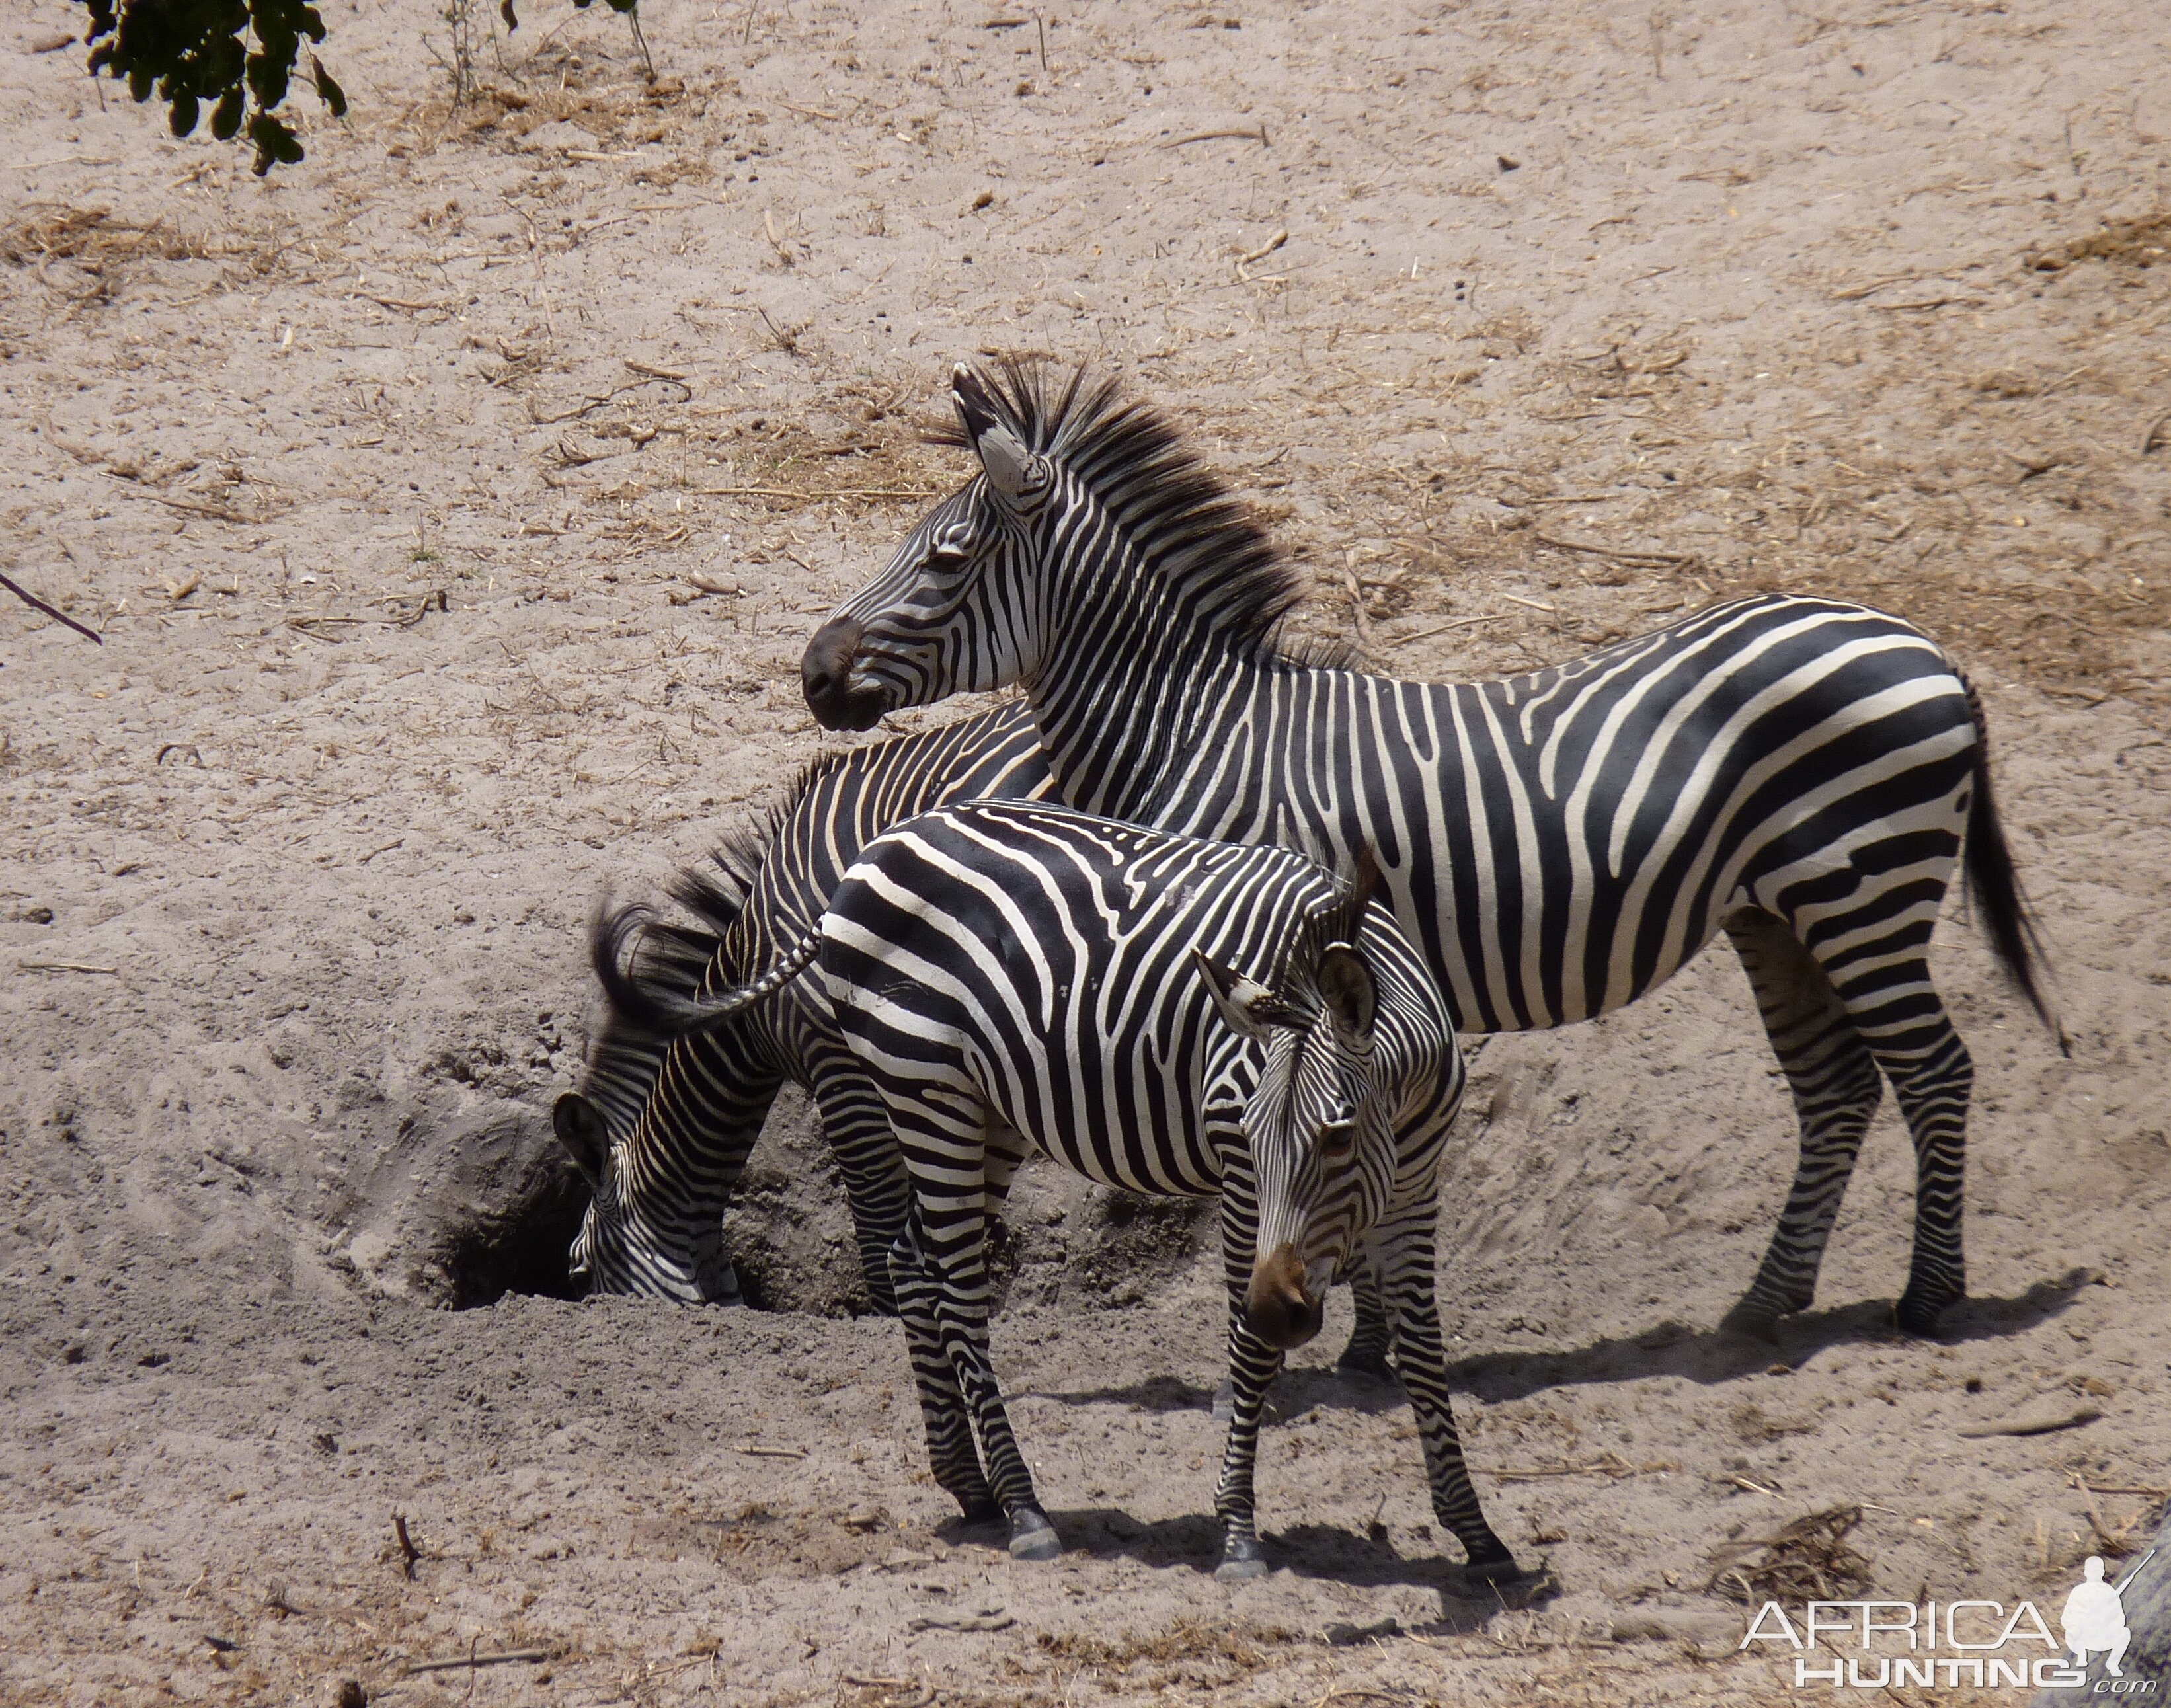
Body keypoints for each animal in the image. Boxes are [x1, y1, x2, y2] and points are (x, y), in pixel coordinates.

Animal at [651, 802, 1519, 1588]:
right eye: (1246, 1132)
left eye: (1338, 1138)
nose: (1285, 1309)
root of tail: (874, 849)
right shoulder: (1240, 1174)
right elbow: (1247, 1345)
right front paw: (1238, 1532)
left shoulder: (1415, 1189)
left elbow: (1424, 1350)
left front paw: (1477, 1534)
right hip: (925, 1088)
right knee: (956, 1290)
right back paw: (1023, 1507)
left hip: (988, 1112)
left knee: (910, 1262)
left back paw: (968, 1486)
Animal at [807, 360, 2058, 1345]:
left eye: (944, 559)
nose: (813, 673)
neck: (1205, 730)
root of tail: (1919, 642)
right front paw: (1363, 1336)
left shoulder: (1280, 947)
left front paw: (1342, 1334)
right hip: (1775, 912)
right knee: (1836, 1087)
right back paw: (1762, 1307)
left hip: (1861, 888)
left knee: (1933, 1070)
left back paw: (1928, 1298)